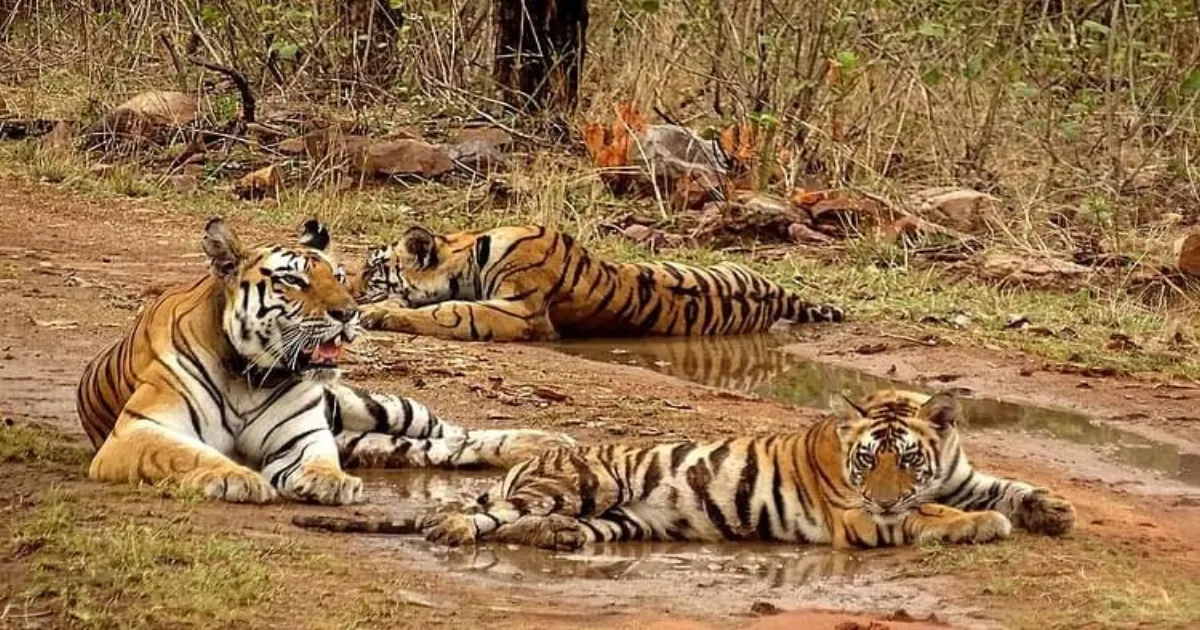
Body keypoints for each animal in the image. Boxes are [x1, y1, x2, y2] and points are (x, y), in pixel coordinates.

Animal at [77, 217, 573, 505]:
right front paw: (238, 479)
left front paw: (329, 482)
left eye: (336, 276)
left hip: (378, 406)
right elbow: (187, 454)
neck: (249, 375)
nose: (350, 312)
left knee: (455, 433)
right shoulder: (137, 431)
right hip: (373, 439)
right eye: (294, 281)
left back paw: (547, 442)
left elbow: (318, 460)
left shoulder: (304, 436)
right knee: (440, 449)